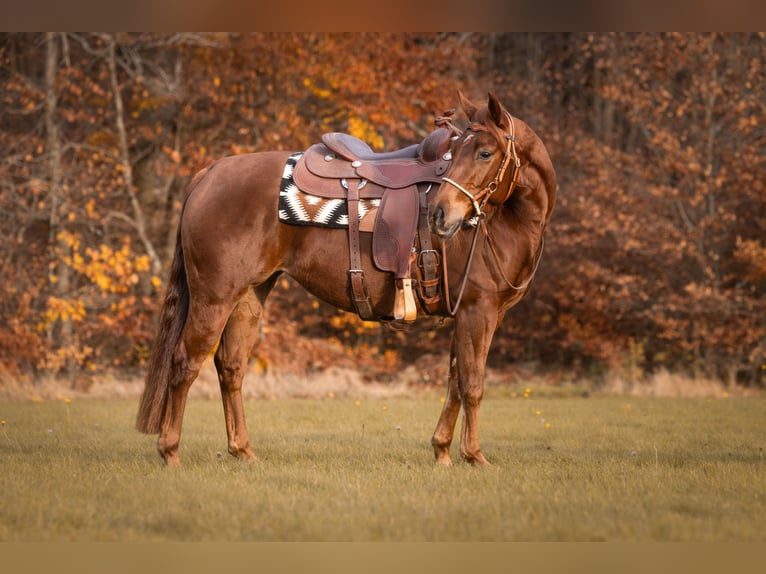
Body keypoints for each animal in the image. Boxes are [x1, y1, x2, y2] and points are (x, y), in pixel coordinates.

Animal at [136, 91, 557, 467]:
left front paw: (442, 451)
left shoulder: (472, 314)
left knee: (231, 367)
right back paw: (170, 452)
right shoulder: (477, 311)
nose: (440, 214)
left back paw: (243, 451)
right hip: (214, 298)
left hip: (248, 298)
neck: (505, 222)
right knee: (185, 363)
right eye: (464, 152)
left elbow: (456, 380)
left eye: (485, 153)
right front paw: (474, 456)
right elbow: (472, 384)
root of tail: (211, 172)